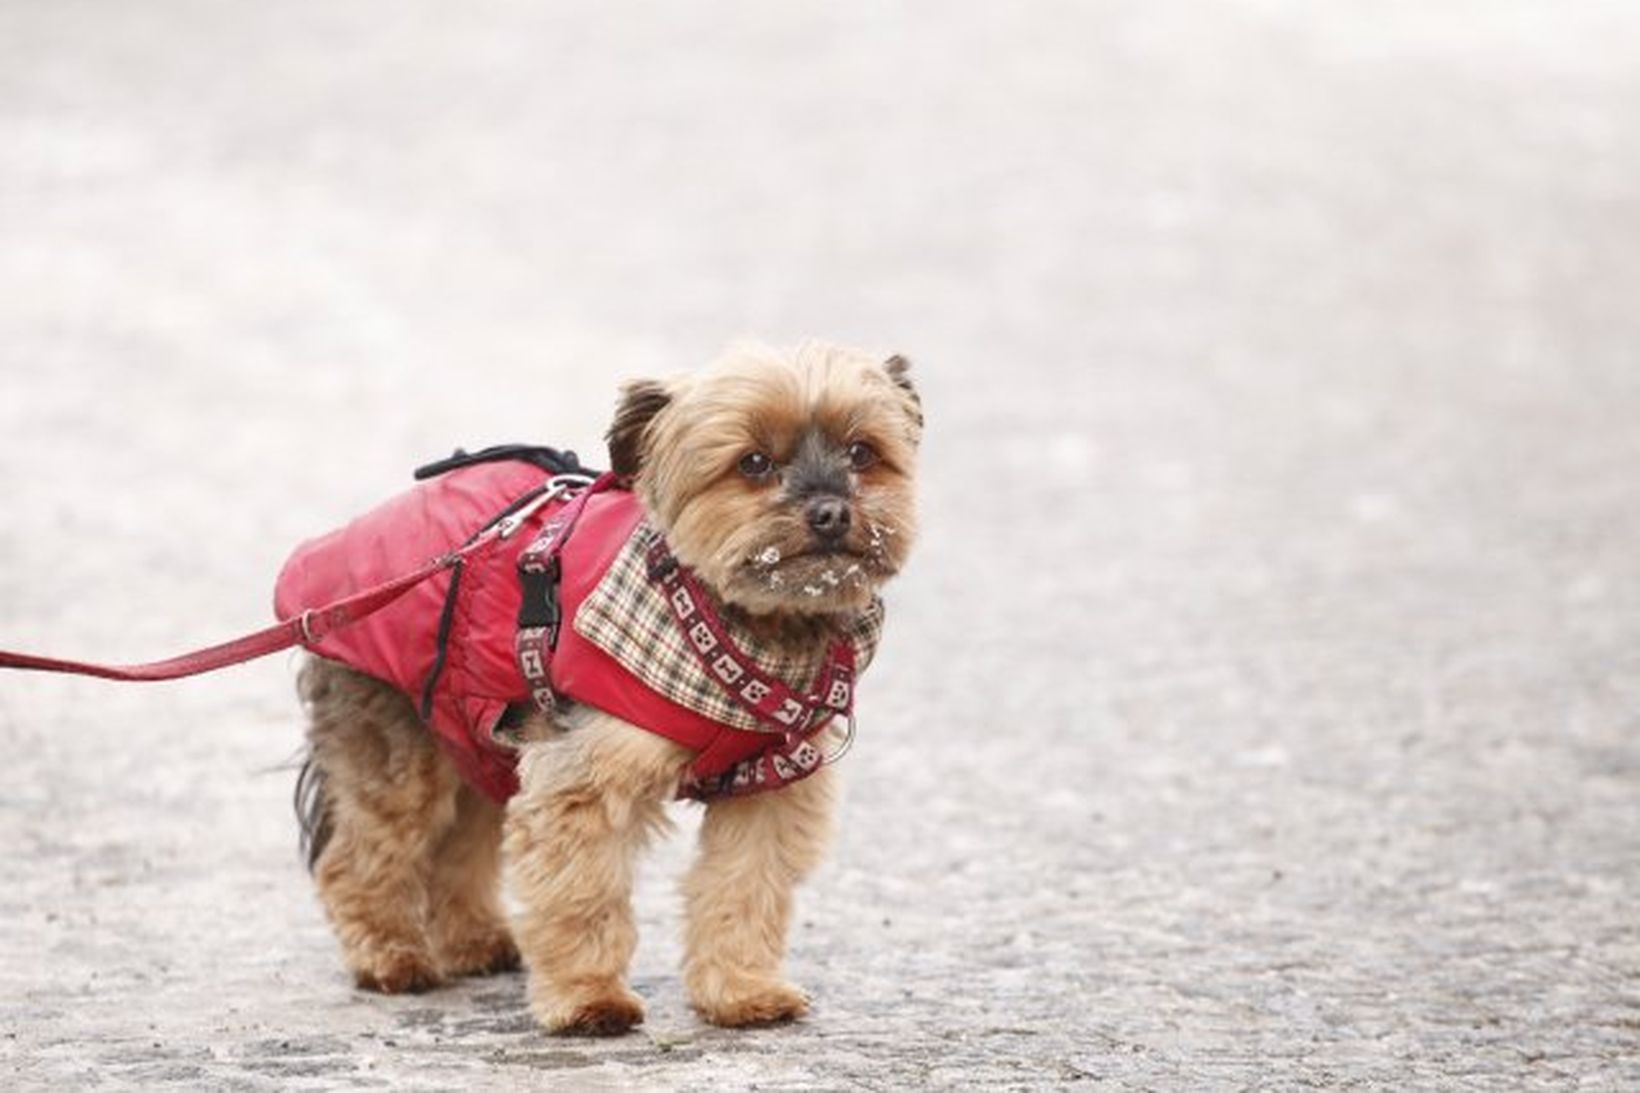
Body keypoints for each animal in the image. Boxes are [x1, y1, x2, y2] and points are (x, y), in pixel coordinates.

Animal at [295, 341, 924, 1030]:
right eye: (754, 463)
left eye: (862, 452)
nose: (831, 511)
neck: (737, 623)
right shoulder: (585, 781)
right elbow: (583, 892)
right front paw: (588, 999)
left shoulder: (770, 786)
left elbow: (744, 887)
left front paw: (742, 991)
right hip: (403, 739)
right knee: (362, 856)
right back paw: (391, 958)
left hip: (477, 741)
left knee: (462, 844)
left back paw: (476, 943)